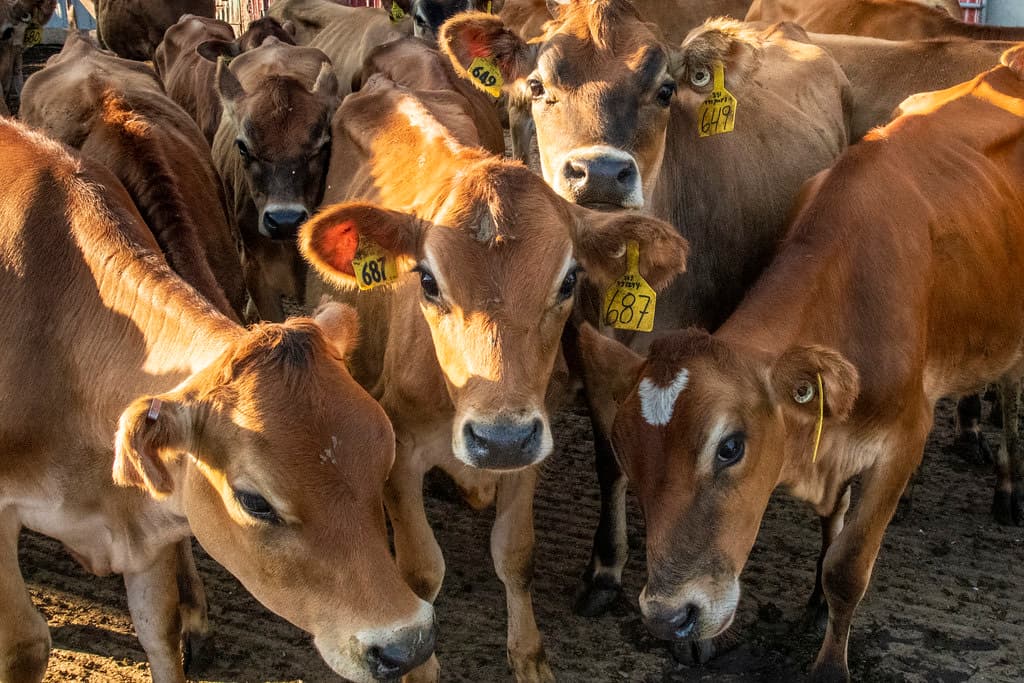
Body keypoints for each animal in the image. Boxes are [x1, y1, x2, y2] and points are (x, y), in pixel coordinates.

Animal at [0, 115, 436, 683]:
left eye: (383, 459)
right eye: (255, 501)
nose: (407, 646)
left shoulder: (145, 531)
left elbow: (160, 629)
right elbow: (25, 644)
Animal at [299, 72, 687, 682]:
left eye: (569, 279)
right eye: (427, 281)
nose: (497, 438)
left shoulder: (531, 442)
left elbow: (515, 554)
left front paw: (528, 656)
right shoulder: (400, 448)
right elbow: (420, 574)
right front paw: (423, 669)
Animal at [441, 5, 852, 650]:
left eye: (664, 90)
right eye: (537, 86)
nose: (600, 173)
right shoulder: (591, 358)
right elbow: (611, 457)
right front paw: (605, 570)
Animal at [581, 46, 1024, 682]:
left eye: (730, 447)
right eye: (627, 450)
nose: (670, 617)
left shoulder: (903, 441)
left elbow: (848, 567)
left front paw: (829, 662)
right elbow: (831, 525)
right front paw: (813, 602)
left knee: (1010, 389)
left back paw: (1009, 489)